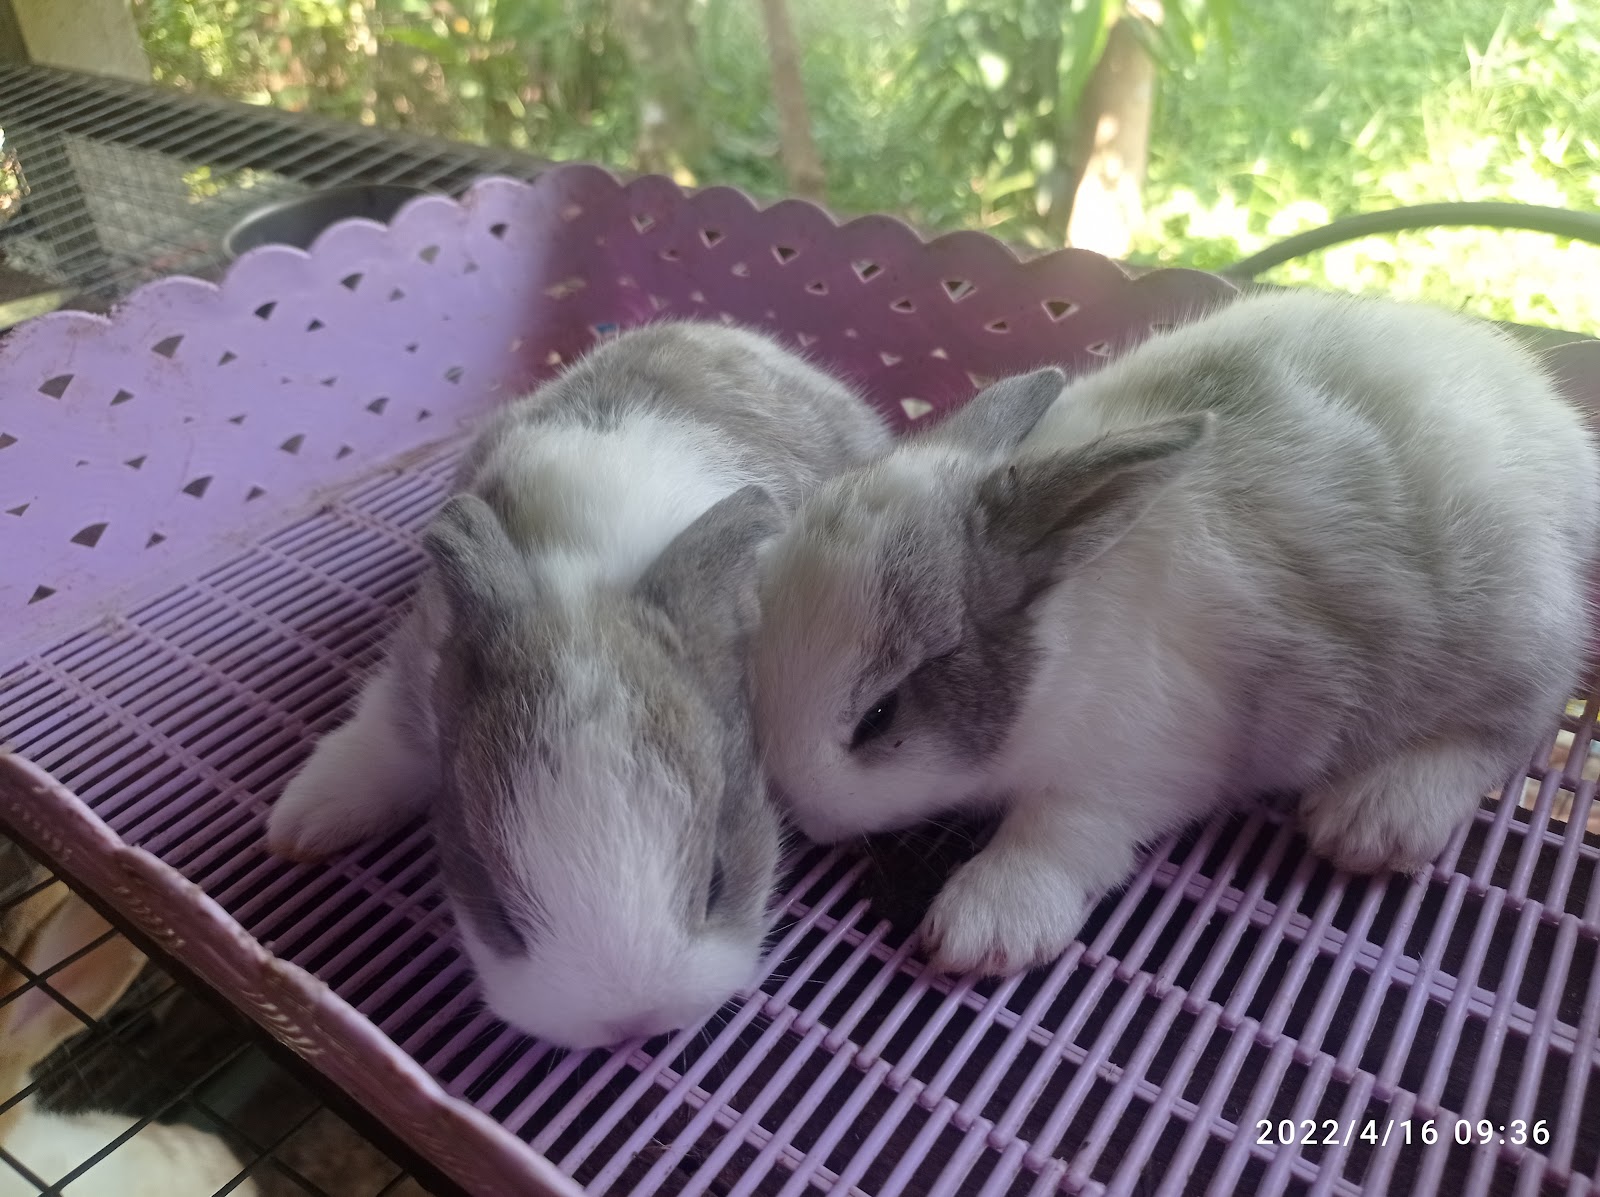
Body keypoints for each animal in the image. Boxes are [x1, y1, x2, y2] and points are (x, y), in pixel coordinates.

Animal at [265, 320, 892, 1049]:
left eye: (717, 880)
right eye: (499, 909)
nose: (629, 1021)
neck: (583, 580)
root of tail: (717, 330)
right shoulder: (421, 660)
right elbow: (387, 742)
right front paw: (301, 822)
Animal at [752, 289, 1600, 977]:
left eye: (879, 716)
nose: (801, 811)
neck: (1061, 634)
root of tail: (1567, 451)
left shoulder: (1138, 768)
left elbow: (1058, 832)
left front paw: (984, 927)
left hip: (1510, 630)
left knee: (1508, 725)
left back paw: (1370, 820)